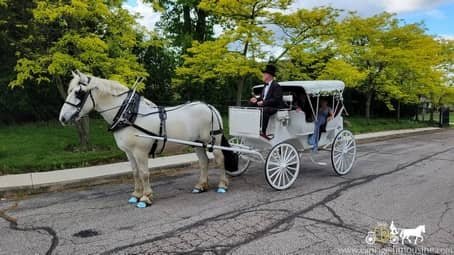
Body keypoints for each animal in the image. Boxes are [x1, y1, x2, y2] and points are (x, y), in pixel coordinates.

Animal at [58, 70, 236, 208]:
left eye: (78, 93)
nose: (62, 118)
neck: (129, 115)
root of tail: (209, 106)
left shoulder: (140, 152)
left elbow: (144, 173)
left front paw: (145, 198)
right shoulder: (129, 152)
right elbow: (135, 172)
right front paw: (136, 194)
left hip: (213, 140)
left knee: (220, 159)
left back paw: (222, 185)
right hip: (197, 143)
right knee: (204, 162)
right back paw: (201, 185)